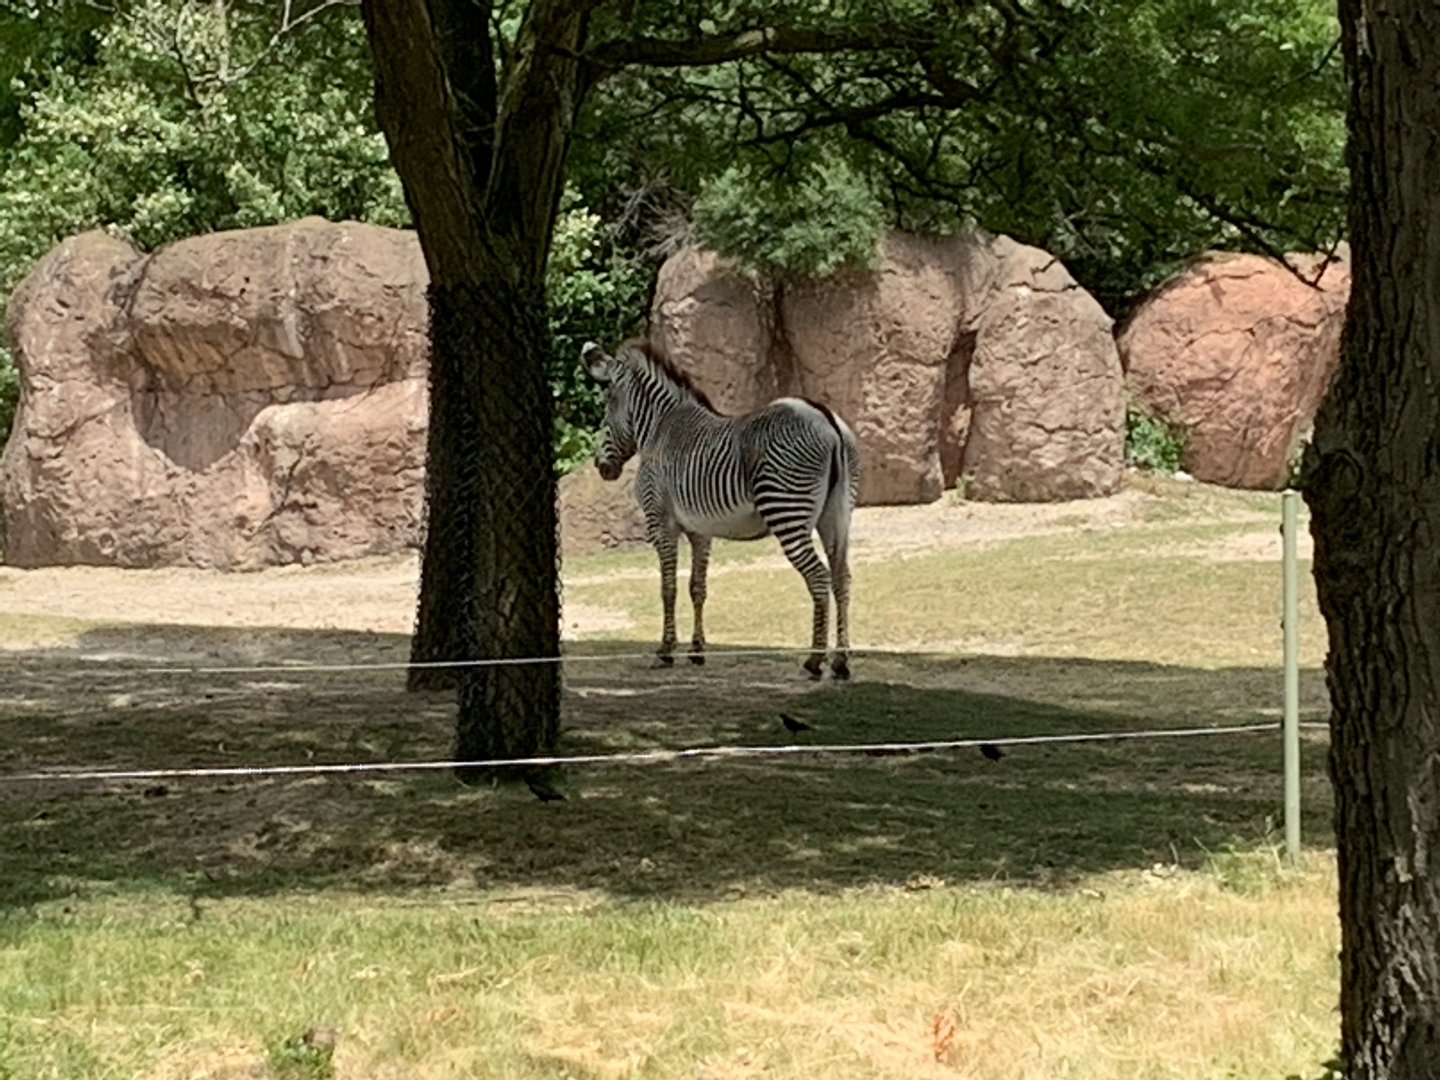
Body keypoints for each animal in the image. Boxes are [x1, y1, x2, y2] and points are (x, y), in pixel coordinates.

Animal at [581, 339, 860, 679]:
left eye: (607, 404)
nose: (602, 468)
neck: (659, 428)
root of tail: (825, 418)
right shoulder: (700, 531)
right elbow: (697, 587)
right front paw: (697, 650)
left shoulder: (660, 522)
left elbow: (668, 587)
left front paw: (665, 650)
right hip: (837, 516)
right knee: (841, 578)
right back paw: (841, 661)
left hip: (786, 511)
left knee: (819, 578)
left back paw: (814, 660)